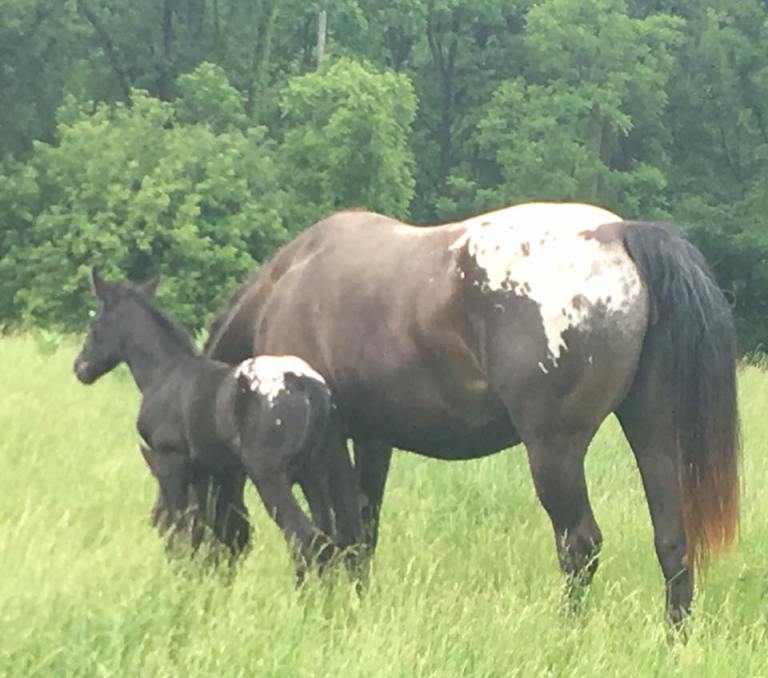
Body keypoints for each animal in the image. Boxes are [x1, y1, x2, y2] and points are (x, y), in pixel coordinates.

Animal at [73, 269, 362, 578]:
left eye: (95, 323)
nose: (80, 367)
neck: (165, 374)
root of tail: (306, 385)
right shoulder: (207, 471)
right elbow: (204, 528)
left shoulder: (170, 460)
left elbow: (180, 526)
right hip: (314, 472)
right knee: (329, 539)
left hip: (269, 475)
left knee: (303, 536)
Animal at [190, 201, 738, 624]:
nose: (198, 582)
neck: (286, 285)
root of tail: (619, 234)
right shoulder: (373, 439)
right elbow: (363, 531)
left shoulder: (328, 445)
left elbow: (339, 532)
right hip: (653, 431)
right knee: (672, 542)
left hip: (554, 451)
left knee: (579, 546)